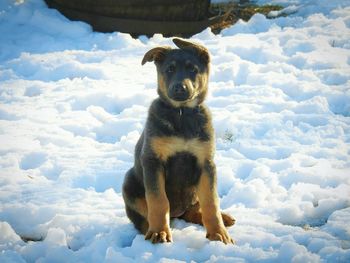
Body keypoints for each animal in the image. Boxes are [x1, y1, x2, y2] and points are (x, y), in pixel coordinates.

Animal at [121, 38, 234, 245]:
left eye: (193, 69)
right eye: (170, 69)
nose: (179, 88)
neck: (182, 114)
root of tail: (178, 213)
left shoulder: (206, 163)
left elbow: (211, 201)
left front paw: (218, 233)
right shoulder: (153, 161)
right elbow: (158, 200)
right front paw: (159, 232)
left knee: (194, 211)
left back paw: (224, 218)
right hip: (129, 182)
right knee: (143, 216)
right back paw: (148, 230)